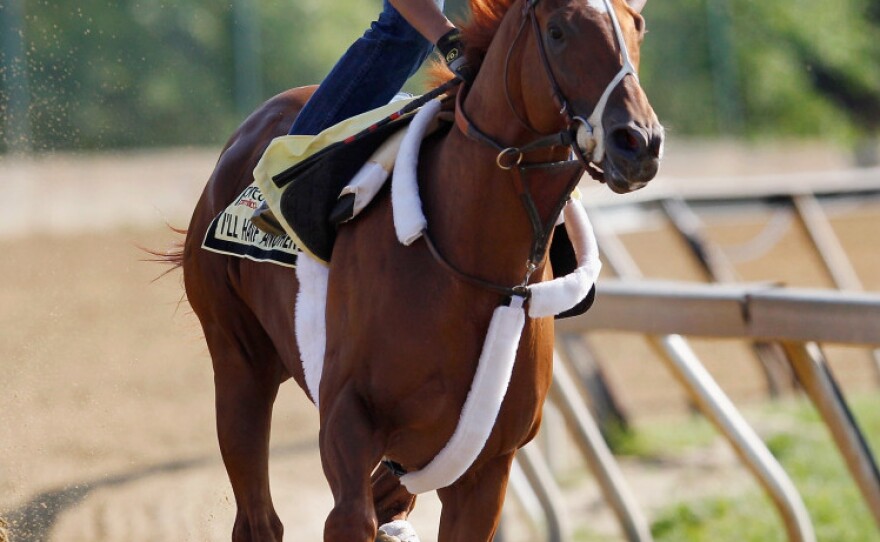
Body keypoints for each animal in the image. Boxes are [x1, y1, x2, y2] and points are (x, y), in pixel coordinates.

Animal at [174, 0, 660, 540]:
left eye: (638, 29)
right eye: (557, 32)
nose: (638, 142)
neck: (473, 264)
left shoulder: (487, 465)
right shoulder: (347, 419)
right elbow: (351, 515)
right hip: (239, 360)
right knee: (259, 517)